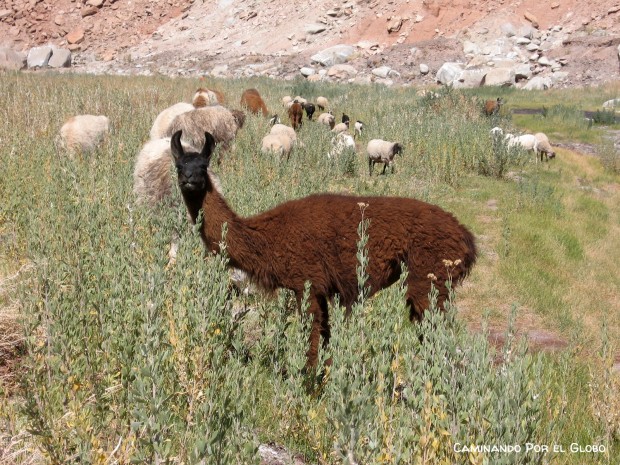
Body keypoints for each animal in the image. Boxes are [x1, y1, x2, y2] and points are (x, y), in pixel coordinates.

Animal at [172, 130, 478, 366]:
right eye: (179, 166)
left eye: (204, 166)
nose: (190, 180)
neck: (271, 236)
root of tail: (465, 236)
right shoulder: (318, 289)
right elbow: (325, 338)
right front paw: (326, 377)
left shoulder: (308, 283)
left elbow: (312, 339)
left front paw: (309, 386)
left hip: (428, 279)